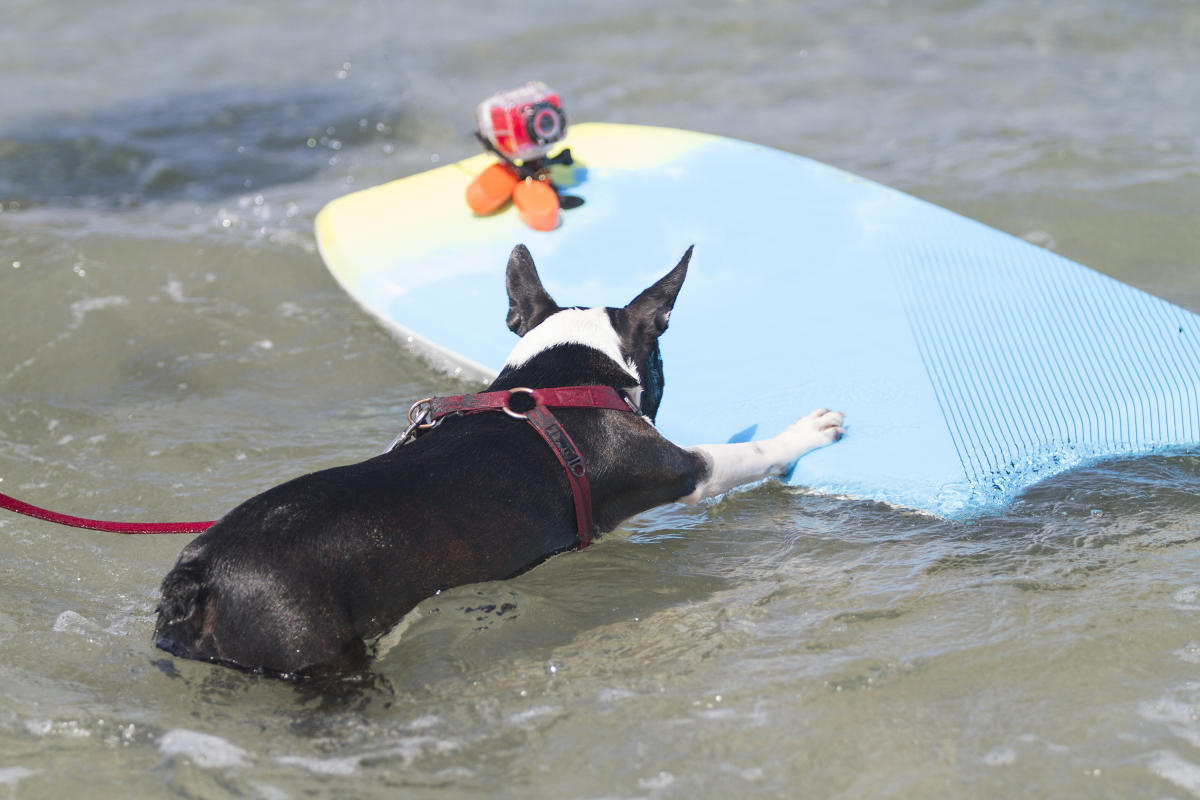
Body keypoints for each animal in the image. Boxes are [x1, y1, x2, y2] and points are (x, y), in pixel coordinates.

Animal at [154, 244, 844, 676]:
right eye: (663, 361)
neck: (560, 376)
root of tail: (200, 574)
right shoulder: (678, 468)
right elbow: (744, 454)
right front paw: (804, 434)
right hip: (313, 650)